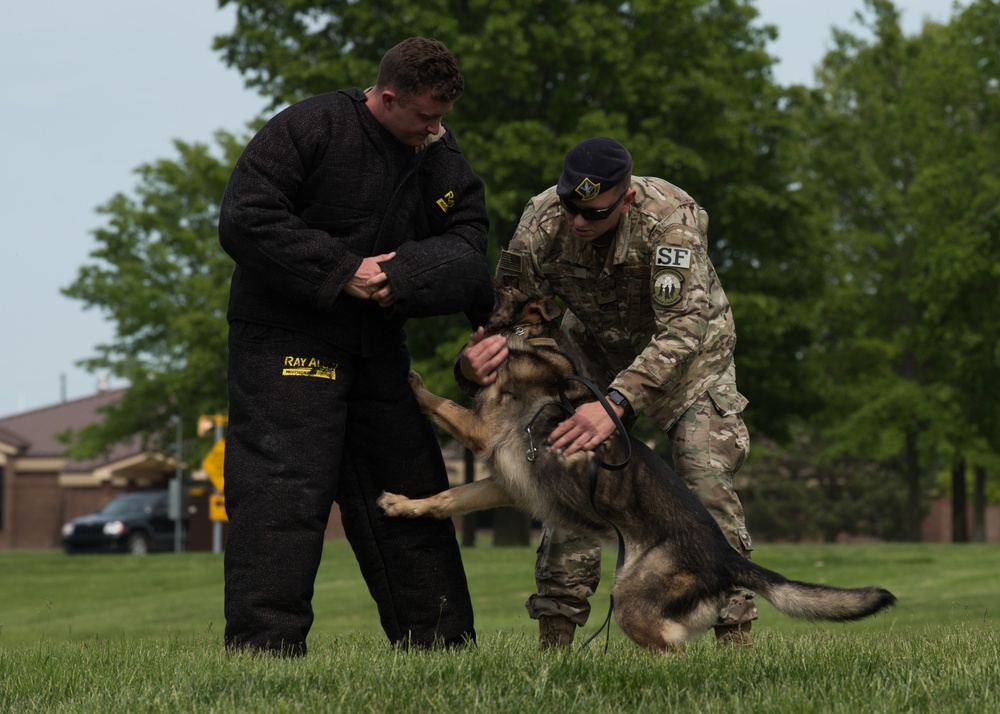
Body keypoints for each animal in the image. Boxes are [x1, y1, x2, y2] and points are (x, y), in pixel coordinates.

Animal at [376, 278, 900, 652]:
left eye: (502, 287)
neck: (526, 338)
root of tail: (725, 555)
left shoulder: (480, 433)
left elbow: (438, 401)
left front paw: (412, 379)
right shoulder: (500, 483)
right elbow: (443, 498)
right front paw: (401, 505)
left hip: (630, 598)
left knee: (676, 653)